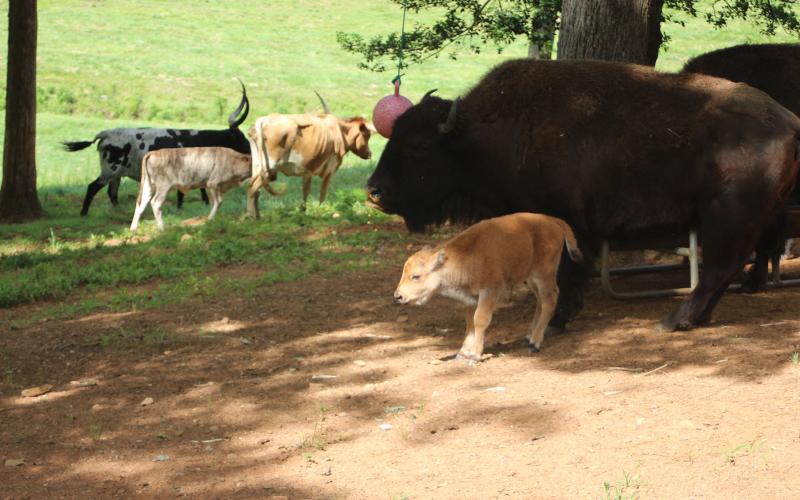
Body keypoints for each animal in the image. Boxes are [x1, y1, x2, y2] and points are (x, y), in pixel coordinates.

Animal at [62, 80, 250, 216]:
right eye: (241, 138)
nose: (250, 150)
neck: (202, 140)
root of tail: (106, 134)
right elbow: (191, 192)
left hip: (117, 173)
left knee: (112, 192)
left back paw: (119, 211)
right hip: (110, 170)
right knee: (93, 187)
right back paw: (84, 213)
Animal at [246, 107, 375, 219]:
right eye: (367, 135)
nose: (369, 154)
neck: (340, 131)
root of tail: (264, 119)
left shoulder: (308, 171)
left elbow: (306, 191)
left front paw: (303, 212)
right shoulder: (330, 169)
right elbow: (323, 192)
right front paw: (320, 211)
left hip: (258, 166)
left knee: (255, 190)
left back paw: (257, 216)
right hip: (270, 167)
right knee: (252, 188)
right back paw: (252, 217)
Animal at [394, 213, 583, 362]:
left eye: (416, 276)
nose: (398, 296)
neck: (460, 258)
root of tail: (553, 220)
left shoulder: (489, 291)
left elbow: (480, 319)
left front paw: (475, 355)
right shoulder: (470, 298)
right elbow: (469, 321)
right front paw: (463, 353)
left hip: (543, 274)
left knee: (550, 299)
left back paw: (535, 343)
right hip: (530, 278)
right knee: (540, 301)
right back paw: (529, 337)